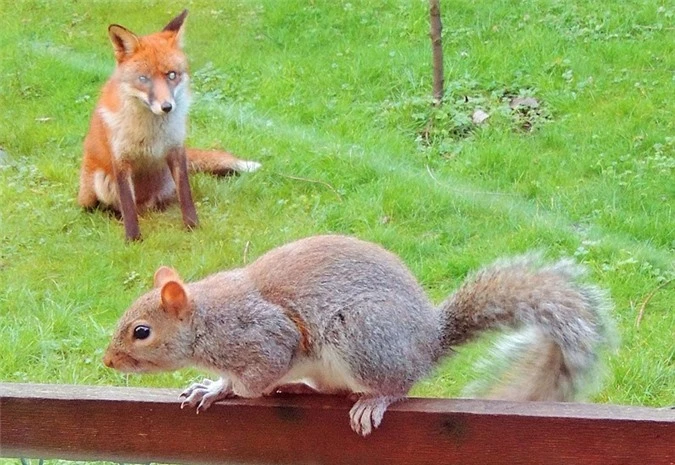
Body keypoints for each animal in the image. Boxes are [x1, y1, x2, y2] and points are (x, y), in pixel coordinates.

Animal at [78, 9, 260, 241]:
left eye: (171, 75)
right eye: (144, 79)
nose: (167, 107)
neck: (152, 132)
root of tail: (146, 205)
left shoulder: (176, 148)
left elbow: (186, 194)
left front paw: (193, 227)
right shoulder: (120, 158)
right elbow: (128, 207)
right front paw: (133, 240)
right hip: (97, 185)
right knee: (112, 207)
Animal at [103, 236, 616, 436]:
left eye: (141, 332)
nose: (108, 361)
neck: (206, 318)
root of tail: (427, 344)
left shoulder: (264, 336)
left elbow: (253, 378)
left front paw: (220, 388)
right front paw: (206, 386)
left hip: (363, 336)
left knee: (397, 385)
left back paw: (374, 400)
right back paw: (298, 388)